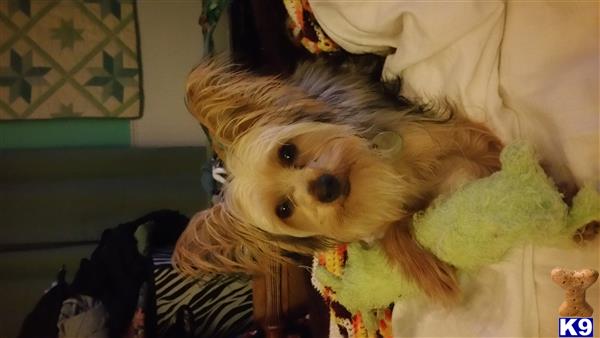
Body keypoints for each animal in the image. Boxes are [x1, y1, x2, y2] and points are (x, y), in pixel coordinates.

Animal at [173, 56, 502, 302]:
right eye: (283, 209)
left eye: (287, 152)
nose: (325, 186)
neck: (377, 171)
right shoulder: (384, 217)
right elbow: (393, 234)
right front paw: (430, 275)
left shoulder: (448, 136)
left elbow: (486, 153)